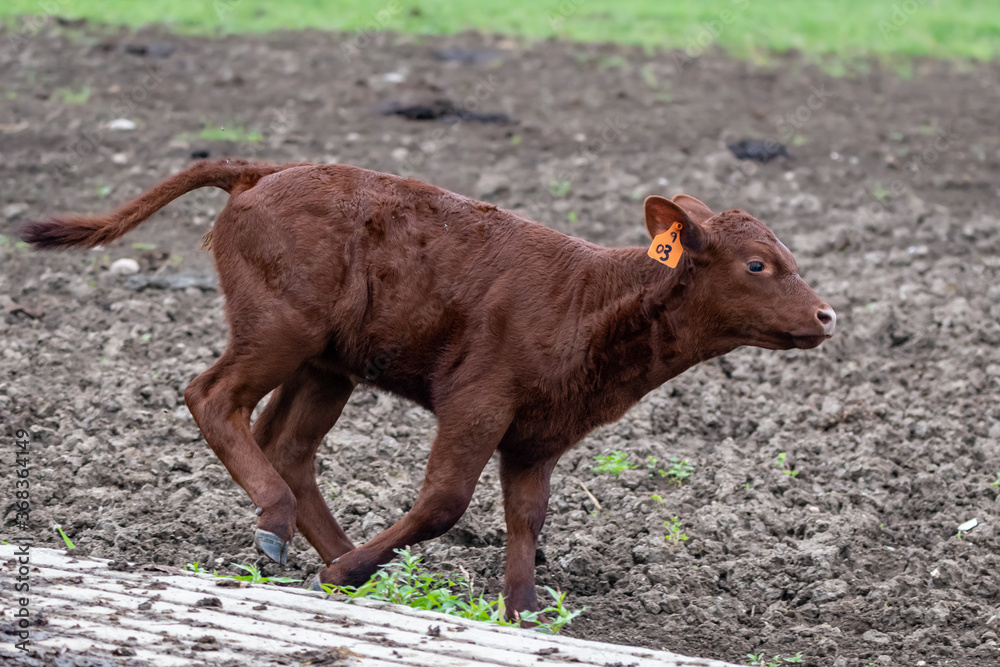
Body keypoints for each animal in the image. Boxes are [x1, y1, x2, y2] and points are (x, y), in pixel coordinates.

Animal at [21, 159, 835, 616]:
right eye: (758, 264)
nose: (827, 314)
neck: (590, 299)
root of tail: (262, 171)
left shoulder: (539, 433)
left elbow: (527, 519)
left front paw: (523, 610)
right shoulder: (478, 400)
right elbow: (445, 501)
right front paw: (356, 568)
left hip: (327, 363)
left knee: (286, 445)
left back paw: (337, 557)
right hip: (278, 328)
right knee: (212, 396)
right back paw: (290, 534)